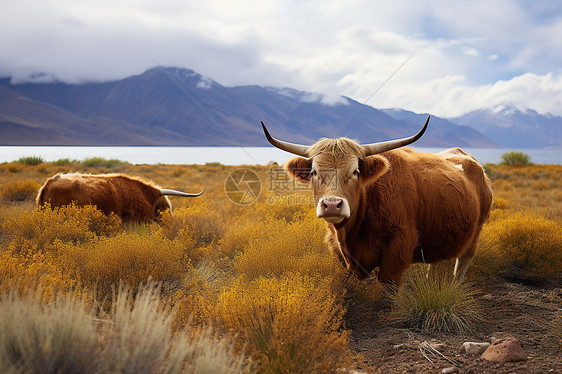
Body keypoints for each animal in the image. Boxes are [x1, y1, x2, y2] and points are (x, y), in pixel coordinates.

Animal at [262, 117, 490, 286]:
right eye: (314, 172)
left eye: (355, 171)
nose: (332, 204)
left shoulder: (398, 248)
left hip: (475, 232)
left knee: (461, 264)